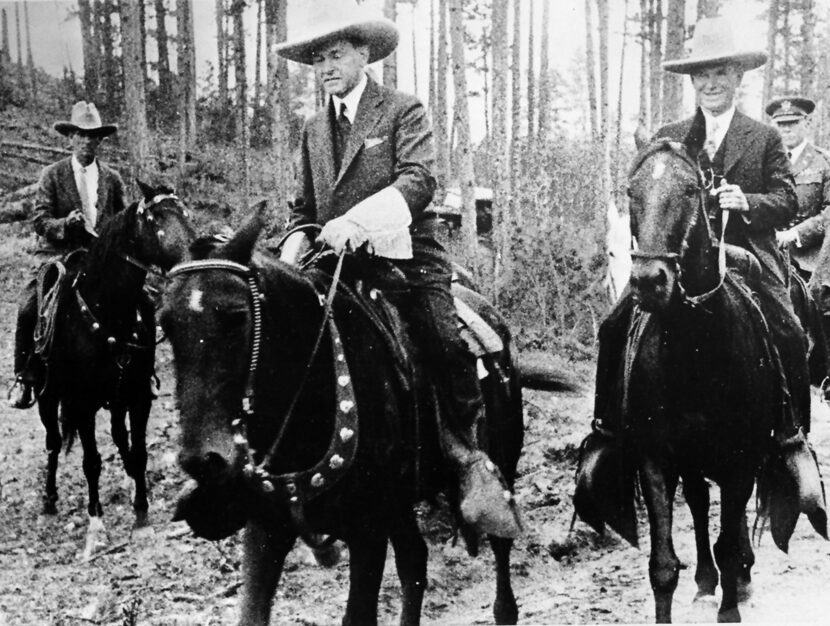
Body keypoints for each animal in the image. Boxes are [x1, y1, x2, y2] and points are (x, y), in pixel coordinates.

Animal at [38, 180, 197, 556]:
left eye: (186, 213)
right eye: (155, 219)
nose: (192, 259)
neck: (109, 313)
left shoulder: (137, 397)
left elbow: (138, 452)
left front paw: (141, 517)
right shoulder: (81, 404)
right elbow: (91, 461)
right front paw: (96, 526)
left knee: (118, 436)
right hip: (48, 397)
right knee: (53, 442)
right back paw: (49, 500)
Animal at [161, 206, 528, 624]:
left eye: (237, 316)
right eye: (165, 323)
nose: (203, 460)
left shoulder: (367, 532)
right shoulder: (266, 528)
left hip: (501, 462)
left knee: (498, 554)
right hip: (398, 505)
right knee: (414, 561)